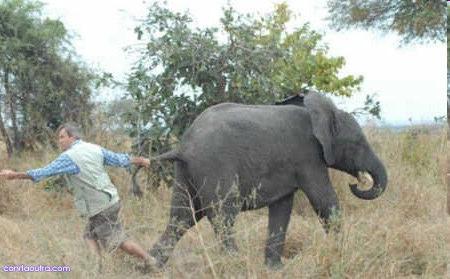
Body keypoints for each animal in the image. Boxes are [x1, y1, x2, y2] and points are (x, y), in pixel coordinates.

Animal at [135, 91, 388, 270]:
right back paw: (235, 265)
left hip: (186, 172)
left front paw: (275, 269)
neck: (324, 113)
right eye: (358, 144)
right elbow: (324, 200)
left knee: (182, 217)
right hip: (214, 166)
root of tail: (182, 147)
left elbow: (282, 208)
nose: (356, 183)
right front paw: (342, 252)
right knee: (222, 216)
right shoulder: (308, 157)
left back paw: (150, 266)